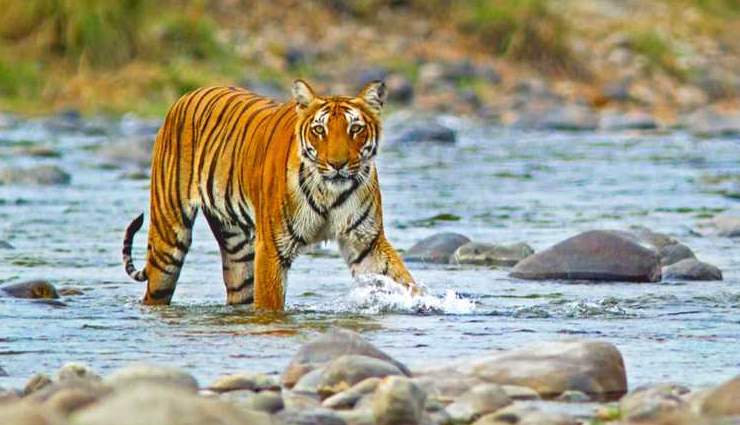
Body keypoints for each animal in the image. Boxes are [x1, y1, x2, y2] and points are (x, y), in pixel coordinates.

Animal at [121, 80, 418, 311]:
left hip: (238, 251)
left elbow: (402, 280)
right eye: (319, 130)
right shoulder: (272, 248)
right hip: (168, 239)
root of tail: (186, 96)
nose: (337, 164)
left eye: (355, 129)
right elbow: (270, 304)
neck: (329, 192)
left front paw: (423, 303)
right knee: (155, 289)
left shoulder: (366, 241)